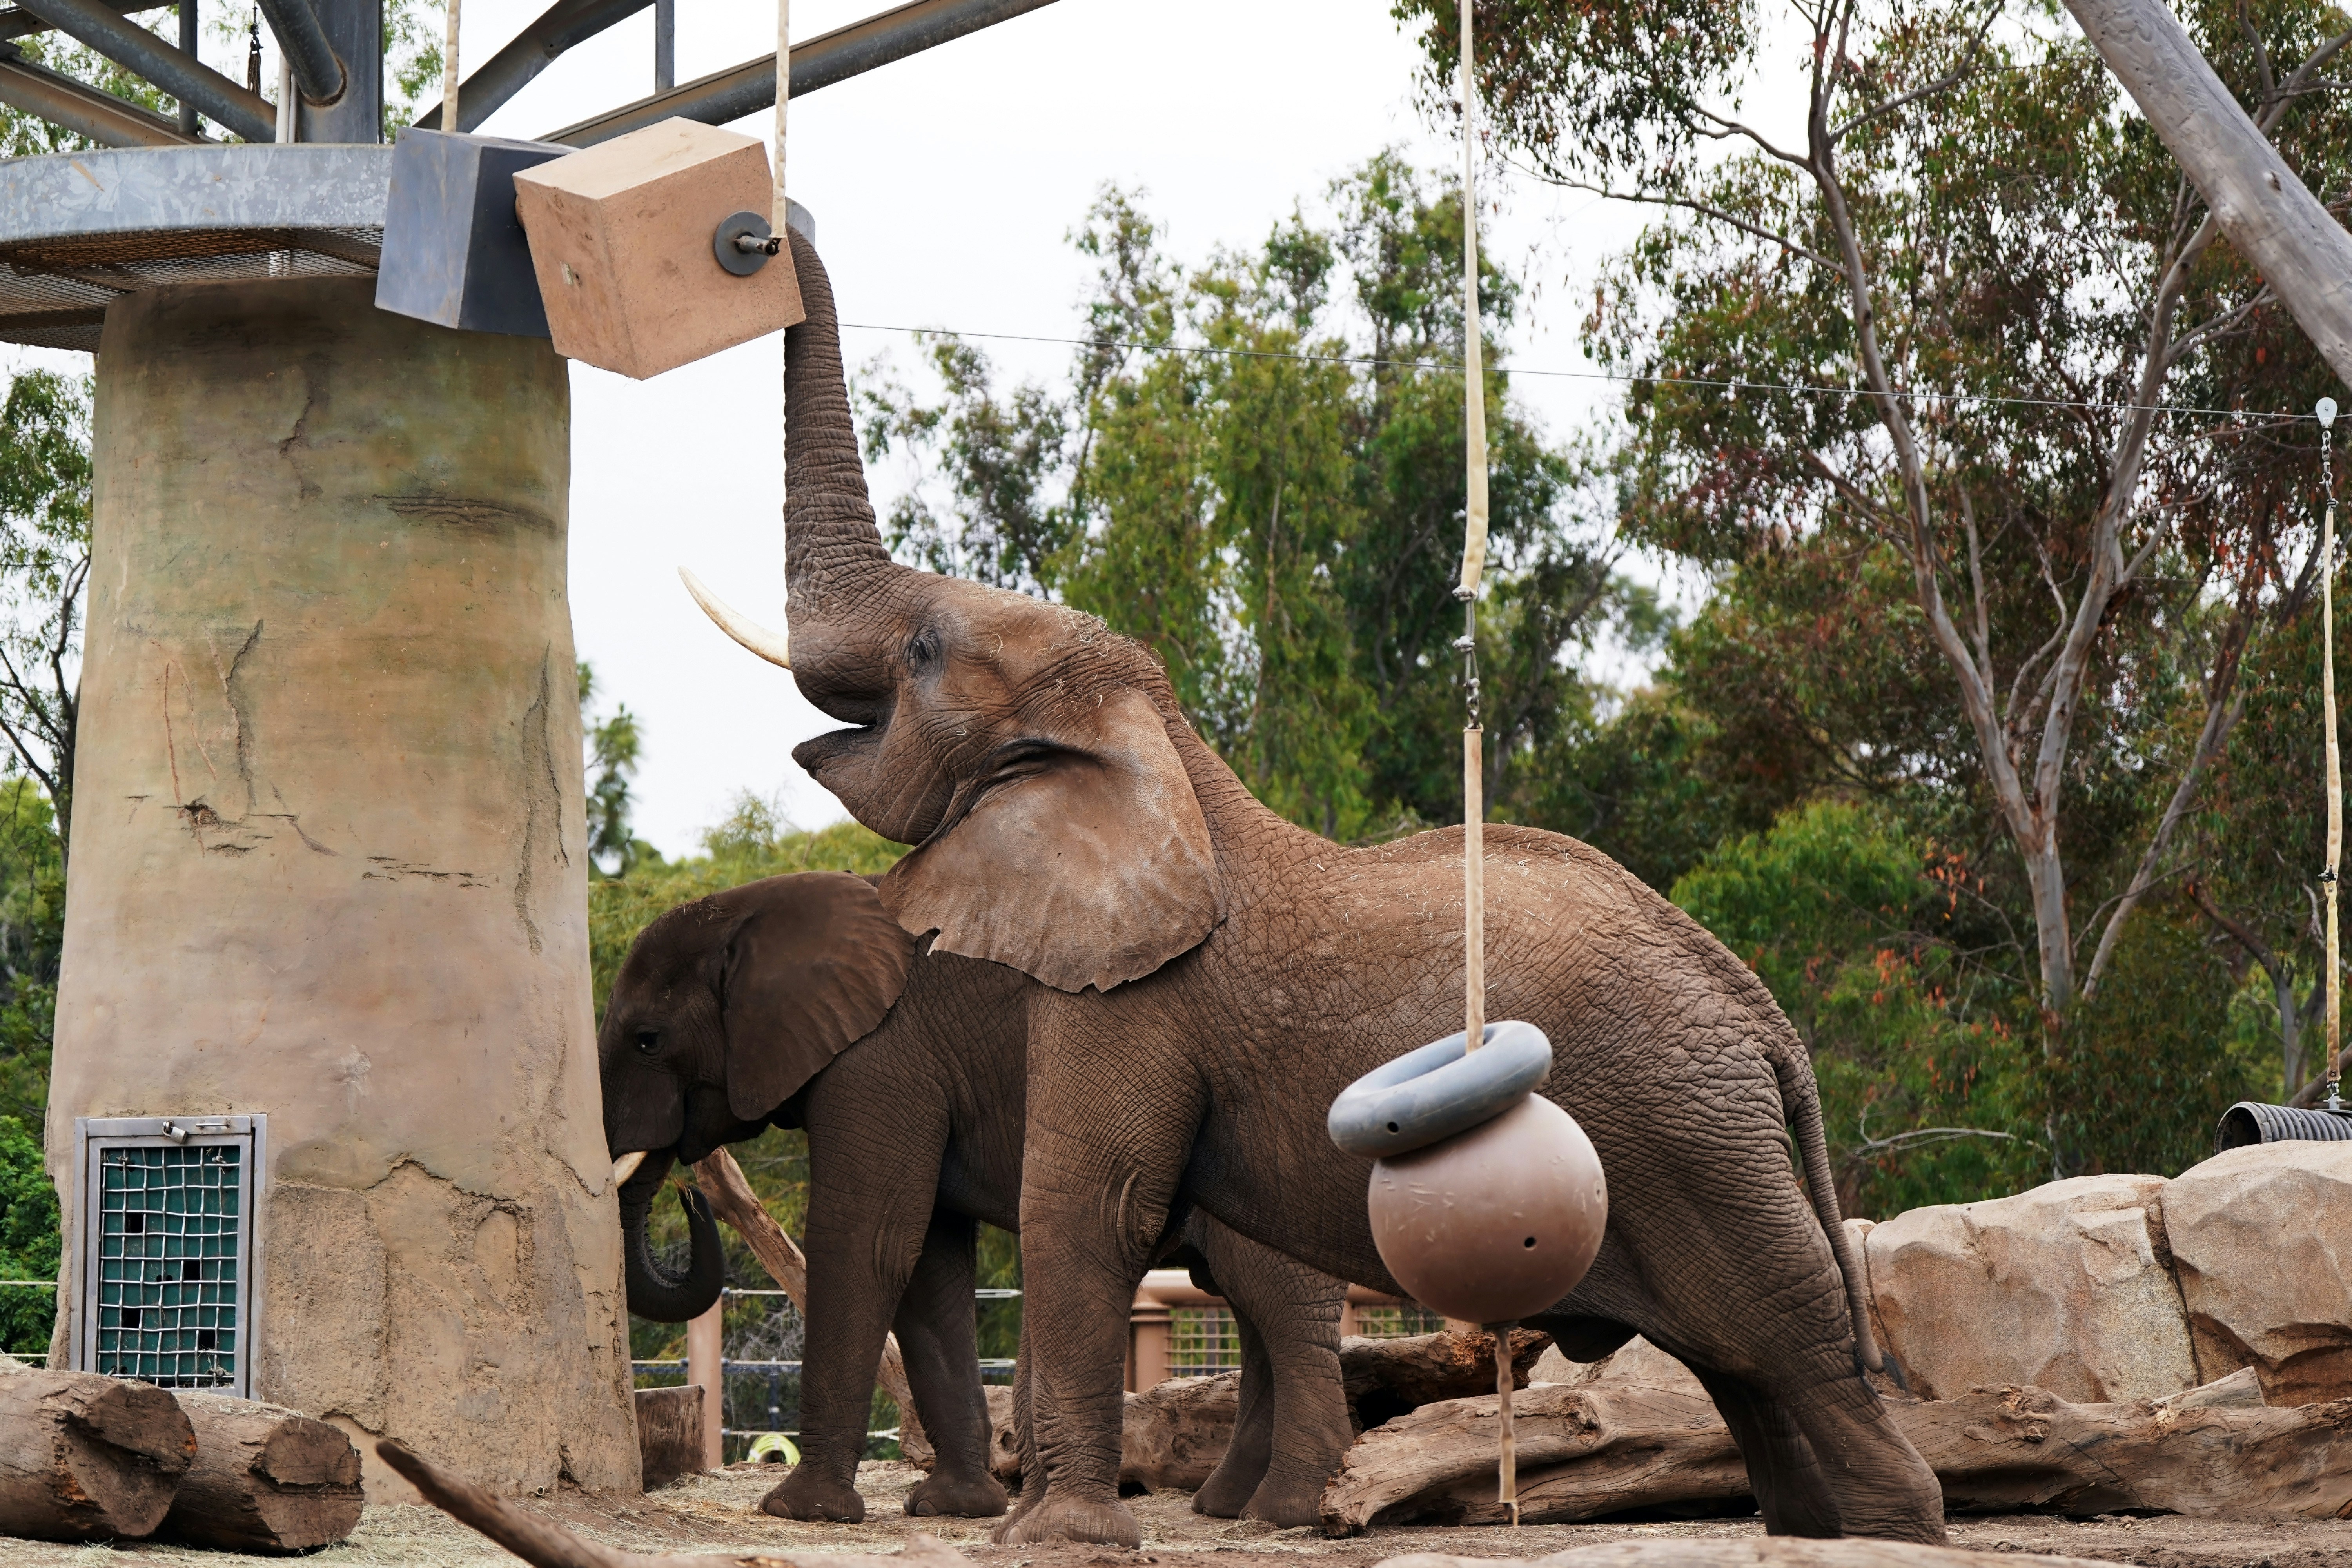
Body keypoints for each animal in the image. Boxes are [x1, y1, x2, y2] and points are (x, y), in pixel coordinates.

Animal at [598, 871, 1357, 1527]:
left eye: (647, 1040)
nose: (693, 1193)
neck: (761, 910)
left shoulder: (880, 1060)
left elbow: (868, 1242)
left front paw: (800, 1511)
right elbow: (929, 1267)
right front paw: (956, 1508)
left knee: (1281, 1310)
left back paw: (1284, 1512)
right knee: (1257, 1312)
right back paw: (1230, 1507)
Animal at [679, 228, 1952, 1550]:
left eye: (925, 652)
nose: (761, 234)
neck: (1156, 749)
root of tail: (1766, 1023)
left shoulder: (1133, 992)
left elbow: (1086, 1206)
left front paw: (1047, 1542)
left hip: (1695, 1145)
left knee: (1787, 1339)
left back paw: (1893, 1528)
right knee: (1743, 1369)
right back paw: (1802, 1528)